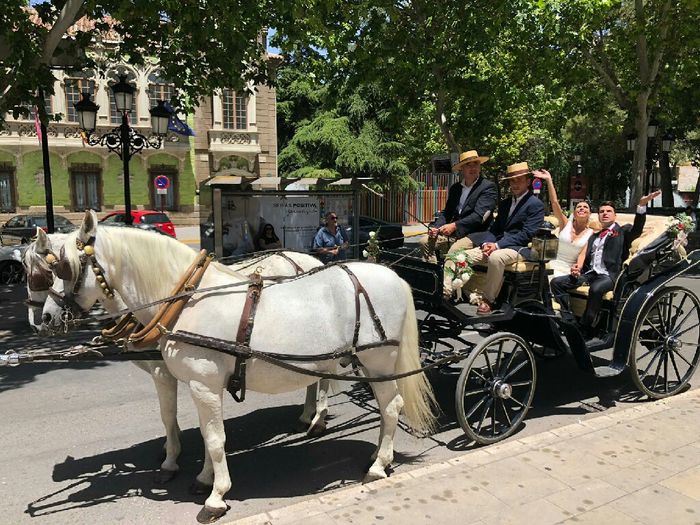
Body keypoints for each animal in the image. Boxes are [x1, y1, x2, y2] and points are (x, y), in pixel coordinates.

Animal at [41, 211, 434, 520]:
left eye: (63, 266)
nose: (45, 318)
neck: (185, 300)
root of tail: (394, 276)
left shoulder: (204, 383)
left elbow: (216, 440)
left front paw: (216, 497)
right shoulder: (202, 386)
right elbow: (205, 434)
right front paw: (203, 479)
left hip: (378, 362)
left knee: (391, 407)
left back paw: (378, 465)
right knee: (383, 407)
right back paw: (373, 452)